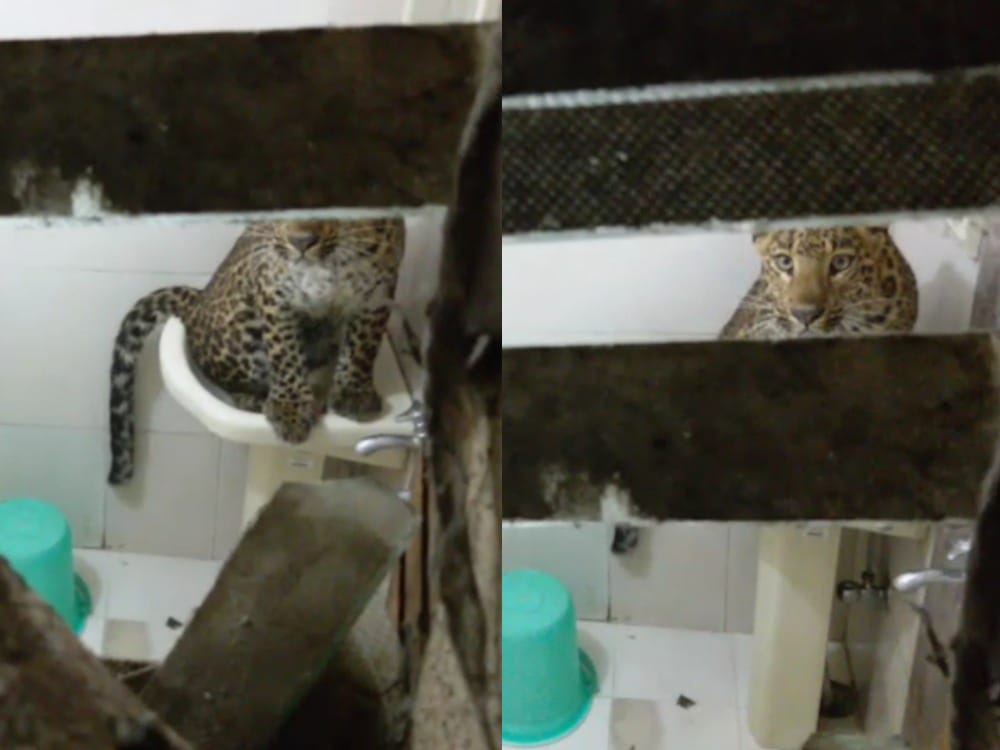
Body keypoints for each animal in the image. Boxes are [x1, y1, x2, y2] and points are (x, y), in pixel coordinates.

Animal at [107, 217, 404, 485]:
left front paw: (355, 394)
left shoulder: (379, 292)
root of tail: (197, 301)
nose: (301, 241)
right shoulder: (275, 293)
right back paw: (257, 400)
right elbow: (285, 353)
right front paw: (290, 409)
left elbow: (363, 346)